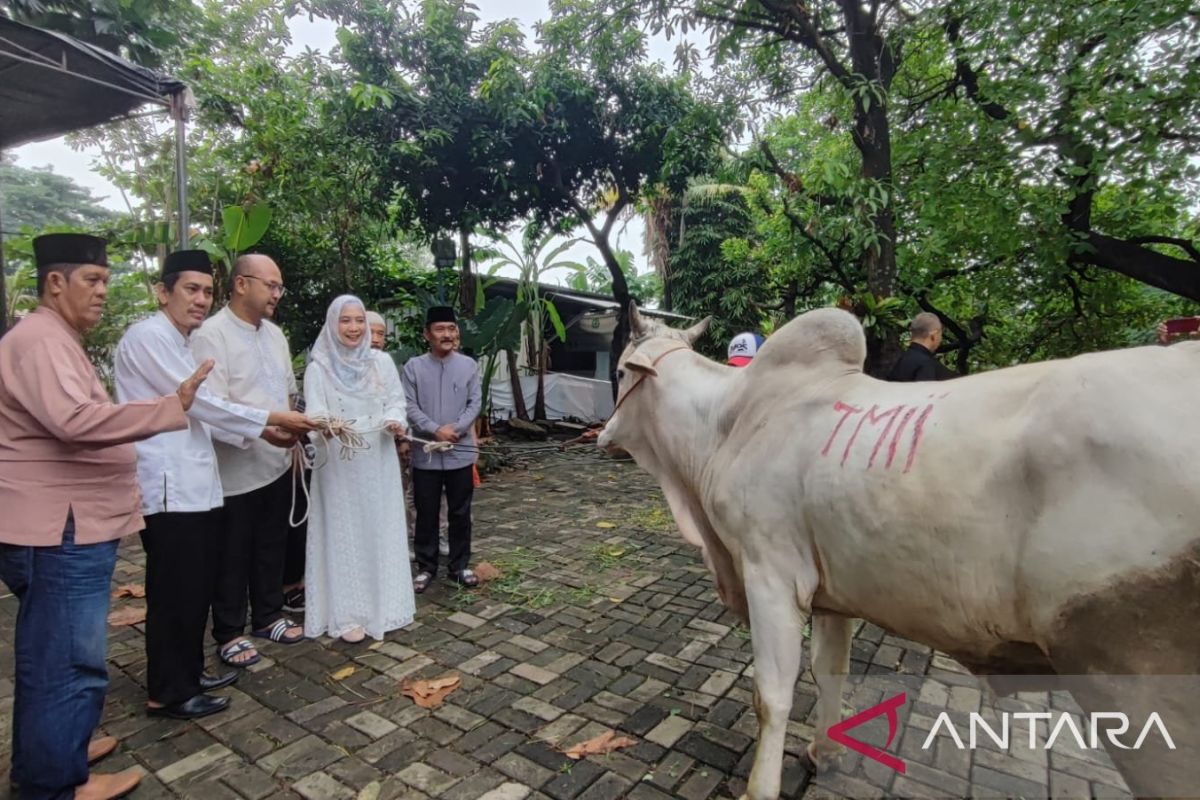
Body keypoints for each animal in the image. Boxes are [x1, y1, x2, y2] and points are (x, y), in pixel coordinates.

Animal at [597, 303, 1200, 796]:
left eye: (622, 370)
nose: (601, 435)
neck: (726, 425)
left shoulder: (769, 573)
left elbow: (771, 695)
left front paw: (759, 789)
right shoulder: (831, 590)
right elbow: (830, 670)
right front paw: (825, 752)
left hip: (1135, 683)